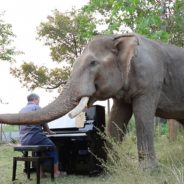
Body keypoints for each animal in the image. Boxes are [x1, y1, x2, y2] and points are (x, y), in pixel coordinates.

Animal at [1, 33, 184, 170]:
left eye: (93, 63)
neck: (117, 37)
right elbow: (116, 119)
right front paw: (111, 167)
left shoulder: (150, 82)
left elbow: (142, 118)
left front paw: (147, 171)